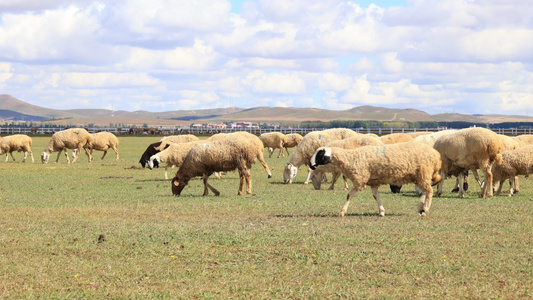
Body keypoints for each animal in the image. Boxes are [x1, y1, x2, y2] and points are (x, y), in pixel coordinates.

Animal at [308, 142, 440, 217]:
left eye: (319, 154)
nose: (310, 164)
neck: (351, 158)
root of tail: (436, 155)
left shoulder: (360, 179)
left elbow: (349, 196)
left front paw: (342, 212)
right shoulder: (373, 182)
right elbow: (376, 196)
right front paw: (381, 211)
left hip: (424, 172)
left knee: (429, 191)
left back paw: (425, 210)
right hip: (420, 176)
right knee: (425, 191)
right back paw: (421, 208)